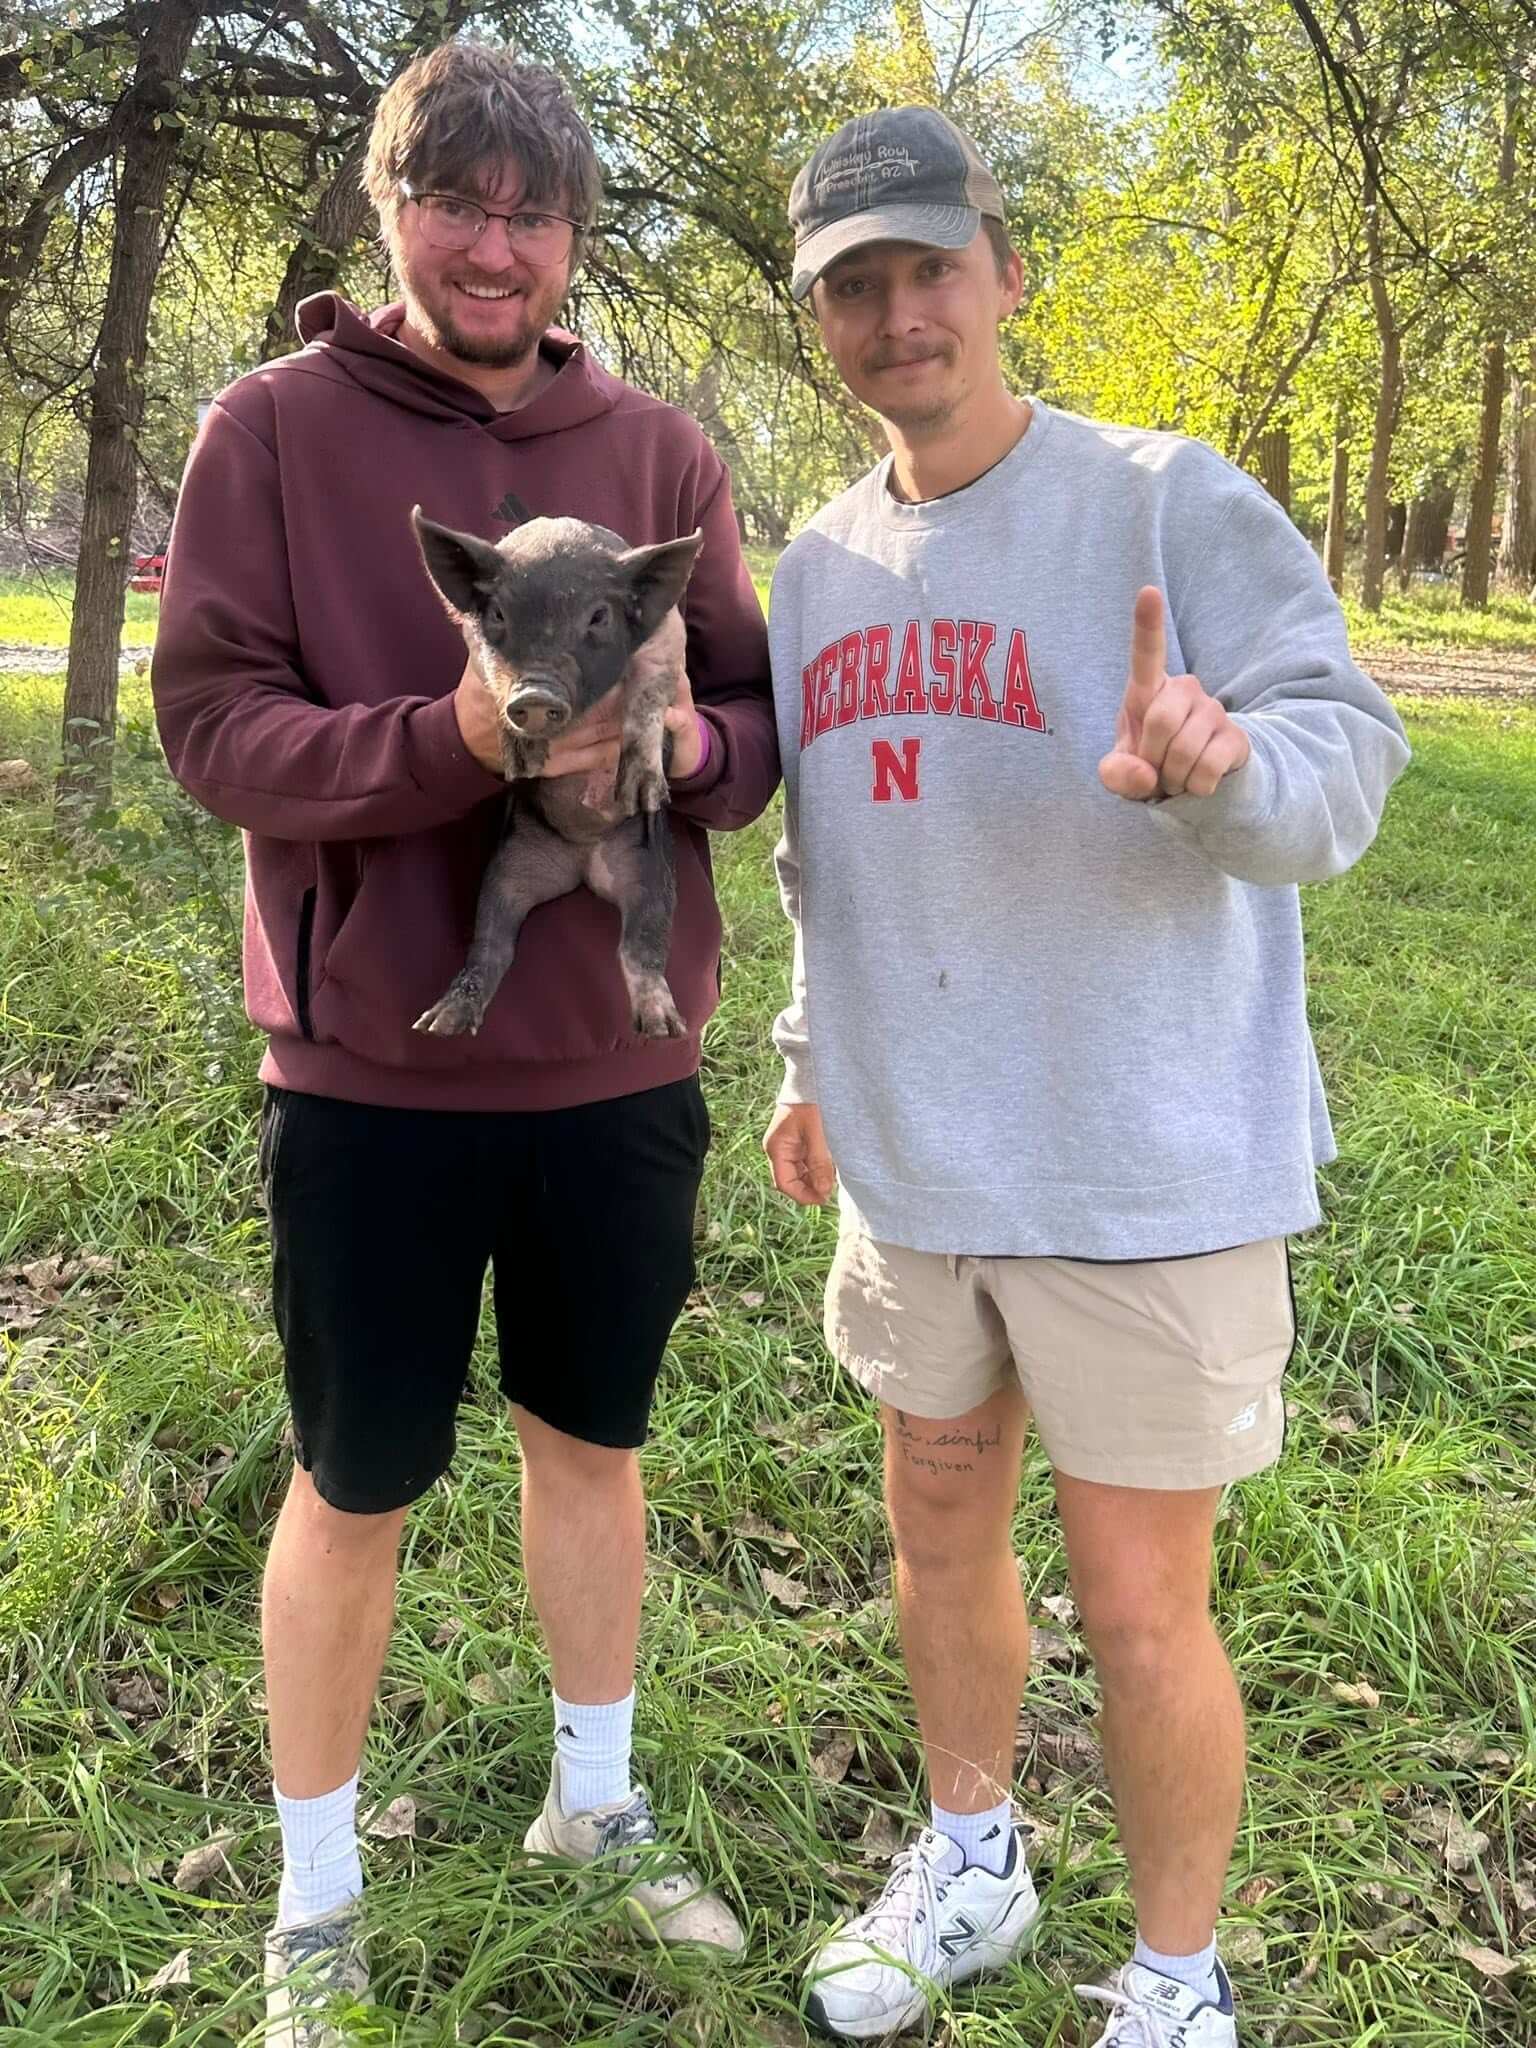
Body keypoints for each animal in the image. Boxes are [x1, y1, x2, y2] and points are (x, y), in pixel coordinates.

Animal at [409, 502, 704, 1041]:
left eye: (599, 615)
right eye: (498, 614)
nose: (535, 695)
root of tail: (582, 864)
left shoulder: (669, 638)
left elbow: (648, 694)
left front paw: (641, 790)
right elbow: (490, 684)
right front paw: (521, 760)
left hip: (650, 870)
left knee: (640, 945)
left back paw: (661, 1027)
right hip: (510, 869)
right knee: (491, 946)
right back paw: (438, 1025)